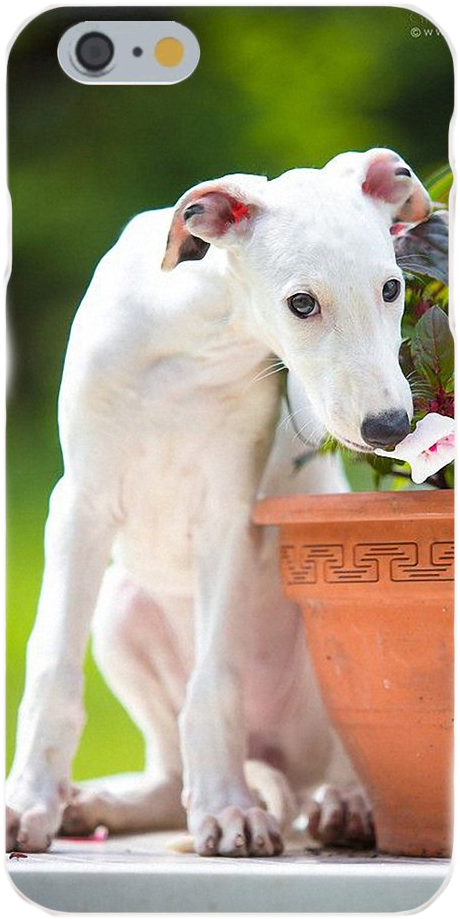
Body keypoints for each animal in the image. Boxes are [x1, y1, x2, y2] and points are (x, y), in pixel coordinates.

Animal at [6, 148, 431, 857]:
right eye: (301, 303)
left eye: (392, 288)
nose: (391, 428)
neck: (191, 339)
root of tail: (275, 758)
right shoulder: (79, 504)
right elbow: (52, 665)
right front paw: (28, 802)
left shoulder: (228, 521)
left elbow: (214, 682)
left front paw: (228, 809)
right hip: (121, 606)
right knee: (165, 776)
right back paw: (93, 803)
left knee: (348, 759)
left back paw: (344, 806)